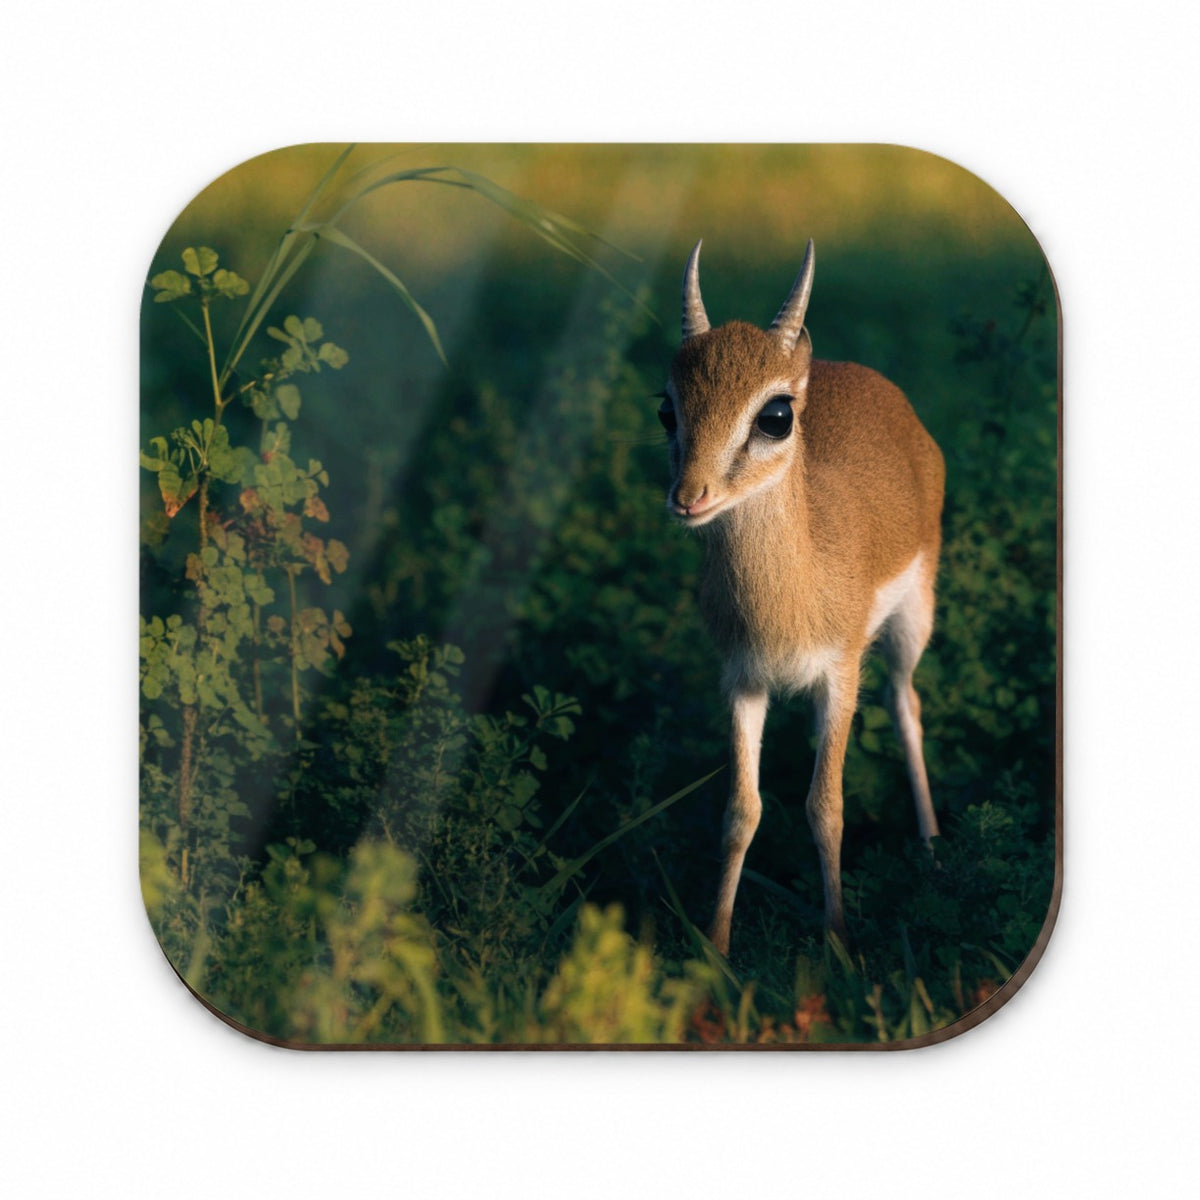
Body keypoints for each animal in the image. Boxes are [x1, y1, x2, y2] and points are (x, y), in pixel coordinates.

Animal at [660, 239, 944, 954]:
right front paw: (714, 946)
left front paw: (838, 943)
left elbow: (827, 807)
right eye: (667, 408)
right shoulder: (742, 681)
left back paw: (933, 852)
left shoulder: (840, 675)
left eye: (776, 415)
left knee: (906, 704)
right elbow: (742, 810)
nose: (688, 497)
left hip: (911, 625)